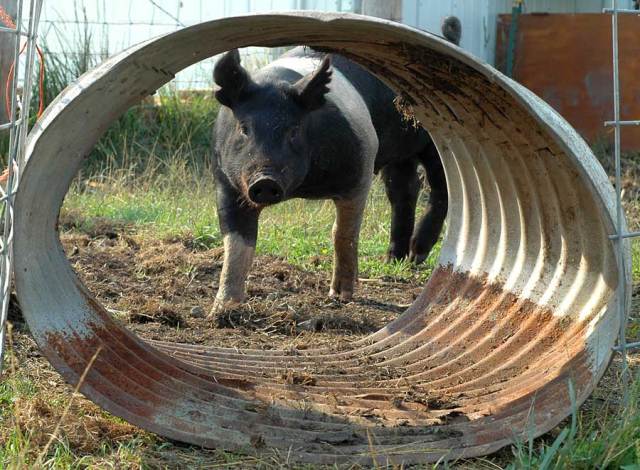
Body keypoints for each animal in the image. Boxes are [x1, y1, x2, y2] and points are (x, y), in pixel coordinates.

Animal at [210, 18, 461, 314]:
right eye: (244, 128)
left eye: (294, 130)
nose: (265, 181)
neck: (304, 188)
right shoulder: (227, 183)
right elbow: (237, 244)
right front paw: (222, 309)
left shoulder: (361, 166)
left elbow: (343, 233)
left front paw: (340, 295)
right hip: (399, 155)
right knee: (405, 191)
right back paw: (393, 259)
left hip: (433, 147)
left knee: (442, 191)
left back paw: (416, 254)